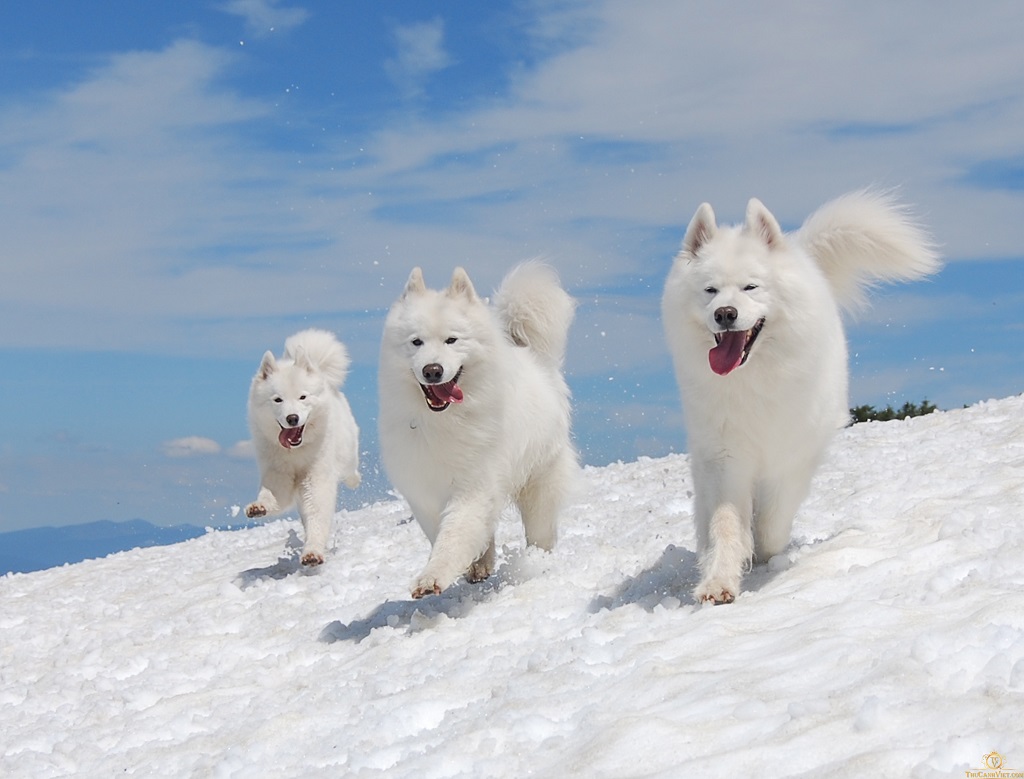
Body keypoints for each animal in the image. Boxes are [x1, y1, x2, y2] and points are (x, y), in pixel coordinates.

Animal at [245, 327, 362, 565]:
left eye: (302, 397)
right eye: (278, 399)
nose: (292, 418)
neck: (296, 453)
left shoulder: (316, 478)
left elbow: (317, 515)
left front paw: (312, 553)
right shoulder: (277, 474)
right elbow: (271, 495)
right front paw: (258, 507)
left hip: (346, 452)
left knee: (350, 469)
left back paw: (354, 480)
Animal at [380, 264, 581, 597]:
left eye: (451, 340)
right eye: (416, 342)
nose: (432, 370)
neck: (443, 421)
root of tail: (533, 356)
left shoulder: (473, 485)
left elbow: (454, 536)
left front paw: (432, 577)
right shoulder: (423, 491)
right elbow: (445, 532)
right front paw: (474, 564)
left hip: (539, 480)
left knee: (541, 530)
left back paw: (537, 561)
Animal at [659, 191, 937, 606]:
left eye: (751, 287)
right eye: (710, 290)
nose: (725, 313)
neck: (753, 378)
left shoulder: (791, 455)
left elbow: (772, 523)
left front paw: (765, 554)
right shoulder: (725, 455)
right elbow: (725, 523)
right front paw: (719, 581)